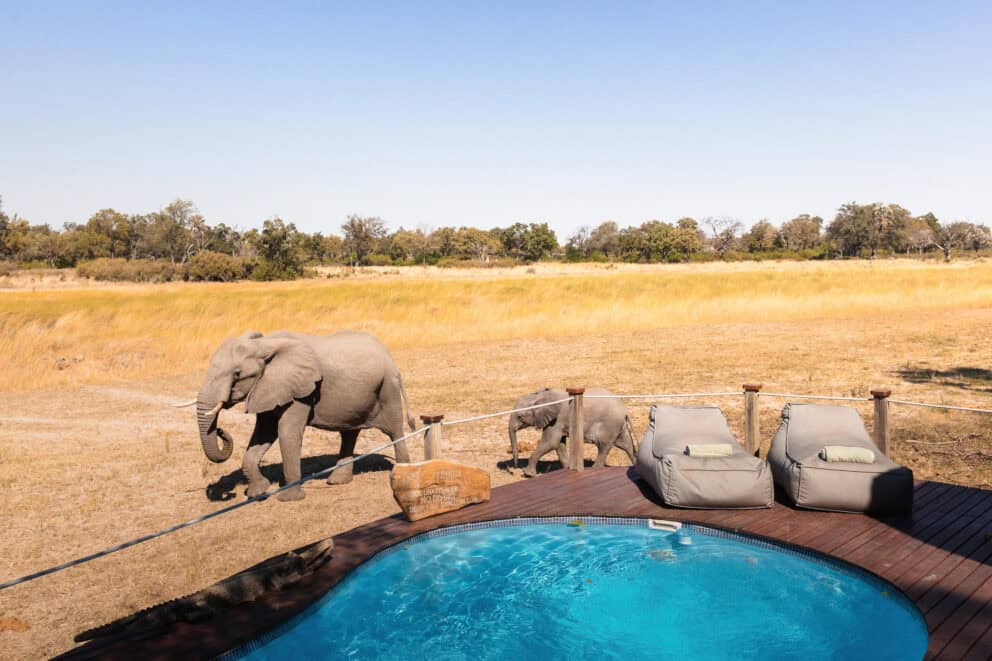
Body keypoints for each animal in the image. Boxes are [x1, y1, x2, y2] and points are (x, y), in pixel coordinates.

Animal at [196, 330, 415, 501]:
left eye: (237, 374)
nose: (221, 430)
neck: (264, 345)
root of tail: (390, 356)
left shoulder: (302, 390)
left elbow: (286, 433)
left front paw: (289, 499)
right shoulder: (269, 387)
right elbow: (264, 434)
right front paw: (257, 493)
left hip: (388, 387)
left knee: (394, 430)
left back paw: (403, 470)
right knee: (349, 433)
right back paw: (337, 481)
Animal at [507, 387, 636, 477]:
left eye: (519, 417)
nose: (515, 467)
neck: (541, 397)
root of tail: (625, 410)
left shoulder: (557, 419)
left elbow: (551, 442)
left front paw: (528, 474)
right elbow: (558, 444)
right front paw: (567, 468)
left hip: (609, 425)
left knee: (603, 447)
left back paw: (594, 469)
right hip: (618, 426)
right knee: (626, 445)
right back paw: (635, 465)